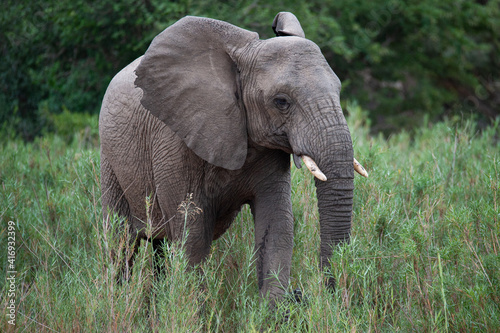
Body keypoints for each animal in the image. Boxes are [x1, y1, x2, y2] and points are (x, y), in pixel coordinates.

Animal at [100, 12, 368, 304]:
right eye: (281, 101)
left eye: (338, 91)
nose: (305, 294)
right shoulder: (174, 141)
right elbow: (191, 234)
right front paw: (192, 309)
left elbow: (277, 225)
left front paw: (269, 309)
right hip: (110, 160)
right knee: (120, 242)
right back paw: (115, 299)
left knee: (159, 248)